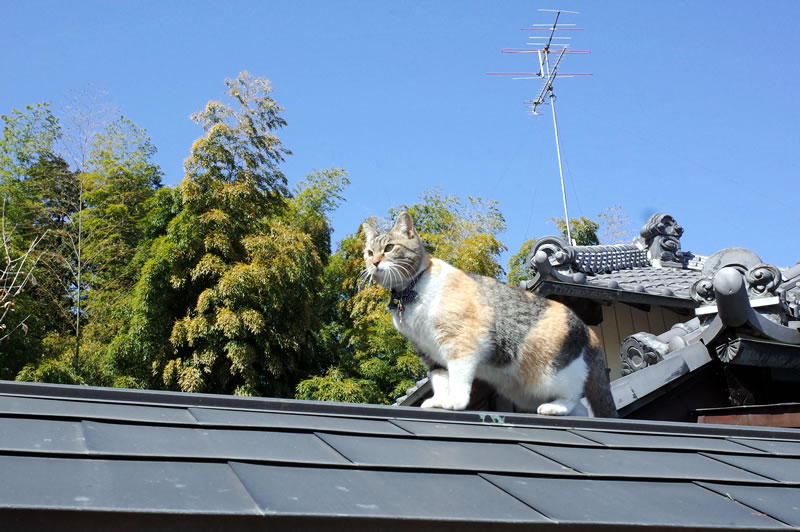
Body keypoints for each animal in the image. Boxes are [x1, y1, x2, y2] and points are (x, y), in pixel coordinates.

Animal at [362, 211, 620, 416]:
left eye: (389, 248)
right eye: (369, 252)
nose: (374, 262)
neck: (410, 290)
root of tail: (589, 332)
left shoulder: (460, 342)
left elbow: (458, 376)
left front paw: (456, 402)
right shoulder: (428, 352)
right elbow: (440, 378)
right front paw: (440, 402)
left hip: (550, 375)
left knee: (574, 397)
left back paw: (555, 408)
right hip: (525, 391)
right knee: (582, 409)